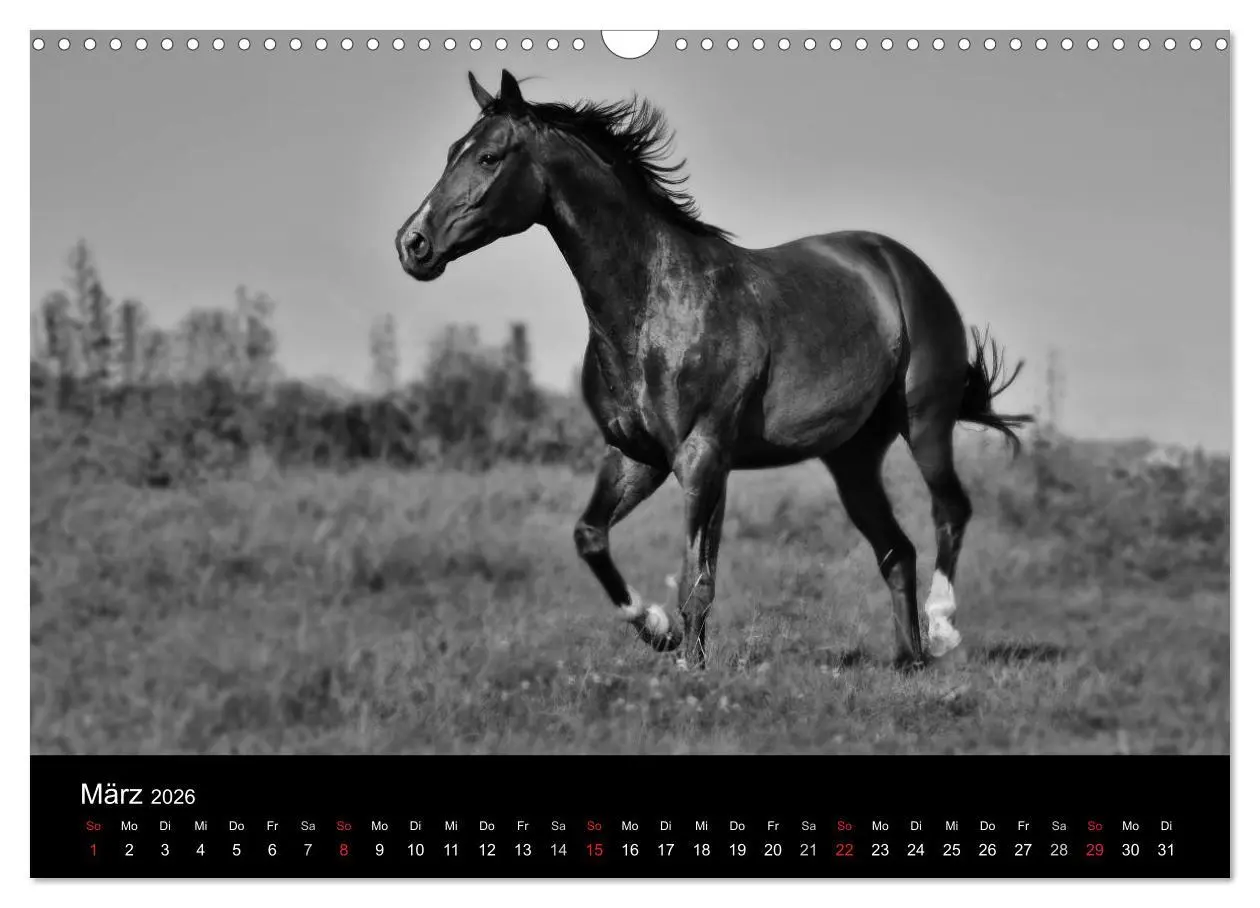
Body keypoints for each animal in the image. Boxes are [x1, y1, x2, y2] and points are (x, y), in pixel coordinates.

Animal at [395, 70, 1030, 669]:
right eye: (452, 150)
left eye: (489, 156)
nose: (413, 244)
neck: (656, 307)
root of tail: (902, 264)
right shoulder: (636, 456)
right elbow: (590, 537)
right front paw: (658, 631)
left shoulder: (703, 457)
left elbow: (697, 581)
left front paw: (690, 668)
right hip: (851, 458)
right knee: (897, 550)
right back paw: (909, 659)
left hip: (925, 422)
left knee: (950, 510)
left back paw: (943, 630)